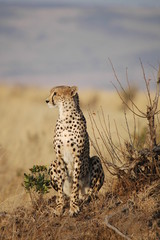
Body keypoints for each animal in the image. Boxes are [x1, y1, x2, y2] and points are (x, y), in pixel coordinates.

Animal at [45, 86, 104, 216]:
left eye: (55, 93)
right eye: (50, 92)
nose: (46, 101)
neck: (64, 116)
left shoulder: (77, 157)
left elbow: (75, 183)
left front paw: (73, 206)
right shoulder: (59, 158)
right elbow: (61, 187)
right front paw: (60, 207)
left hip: (96, 161)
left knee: (93, 190)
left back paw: (86, 196)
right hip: (53, 163)